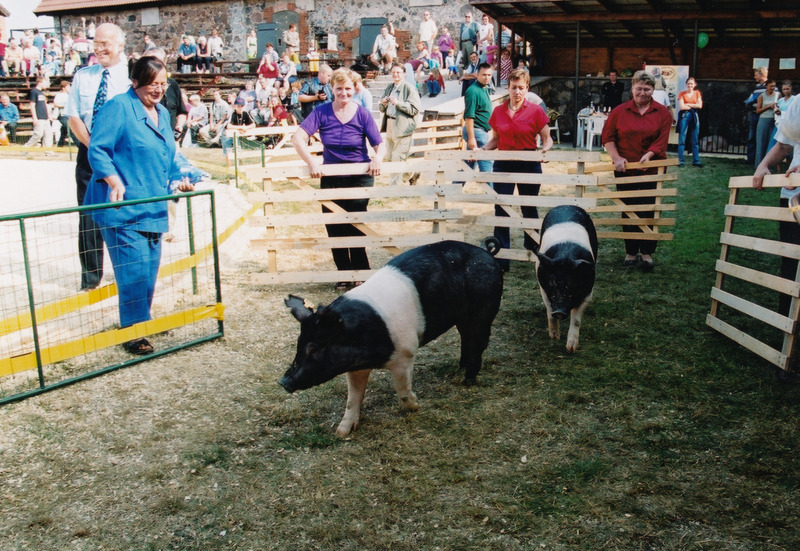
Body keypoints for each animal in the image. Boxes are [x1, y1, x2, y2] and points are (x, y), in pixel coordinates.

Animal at [282, 239, 504, 438]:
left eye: (314, 348)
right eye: (299, 344)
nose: (283, 381)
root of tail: (487, 252)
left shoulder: (406, 353)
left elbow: (402, 389)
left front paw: (415, 406)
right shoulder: (355, 367)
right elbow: (352, 398)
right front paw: (341, 432)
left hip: (485, 306)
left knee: (478, 341)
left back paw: (467, 381)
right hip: (462, 316)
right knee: (466, 338)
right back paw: (458, 370)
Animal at [536, 204, 596, 354]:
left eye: (573, 282)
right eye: (552, 281)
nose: (559, 312)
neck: (566, 256)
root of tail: (566, 205)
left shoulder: (588, 293)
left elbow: (576, 319)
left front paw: (571, 349)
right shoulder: (543, 287)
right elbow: (548, 309)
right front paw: (554, 337)